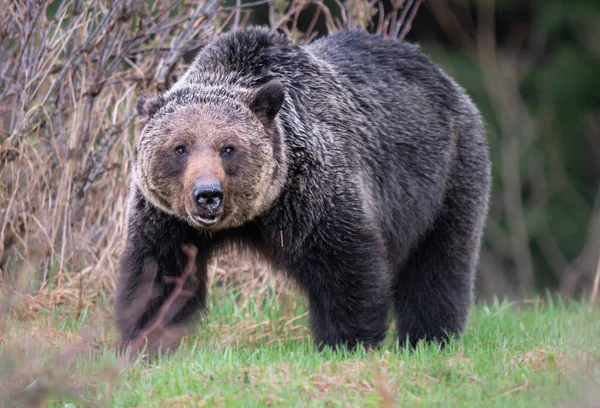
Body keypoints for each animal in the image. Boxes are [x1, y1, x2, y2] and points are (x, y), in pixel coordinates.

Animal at [113, 27, 492, 352]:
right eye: (180, 148)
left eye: (228, 148)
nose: (208, 194)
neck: (256, 214)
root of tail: (443, 77)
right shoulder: (167, 217)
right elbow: (158, 273)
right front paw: (143, 340)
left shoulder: (311, 192)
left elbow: (345, 265)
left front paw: (348, 341)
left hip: (445, 175)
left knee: (438, 264)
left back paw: (429, 338)